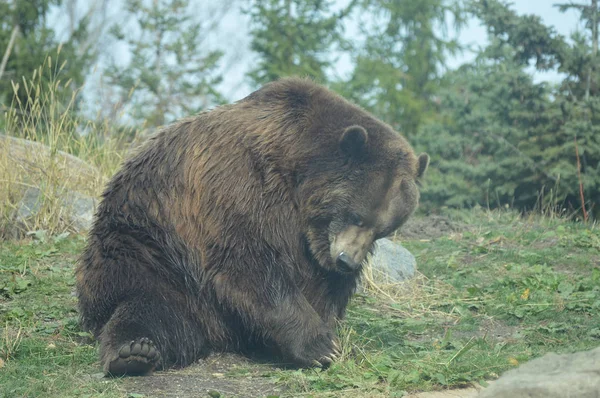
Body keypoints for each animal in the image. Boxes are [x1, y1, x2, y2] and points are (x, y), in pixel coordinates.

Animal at [75, 77, 428, 376]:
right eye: (357, 215)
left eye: (383, 230)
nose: (347, 261)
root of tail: (216, 331)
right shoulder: (238, 185)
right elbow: (248, 264)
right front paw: (320, 346)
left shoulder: (312, 244)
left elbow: (323, 285)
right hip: (148, 251)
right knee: (147, 305)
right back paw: (133, 351)